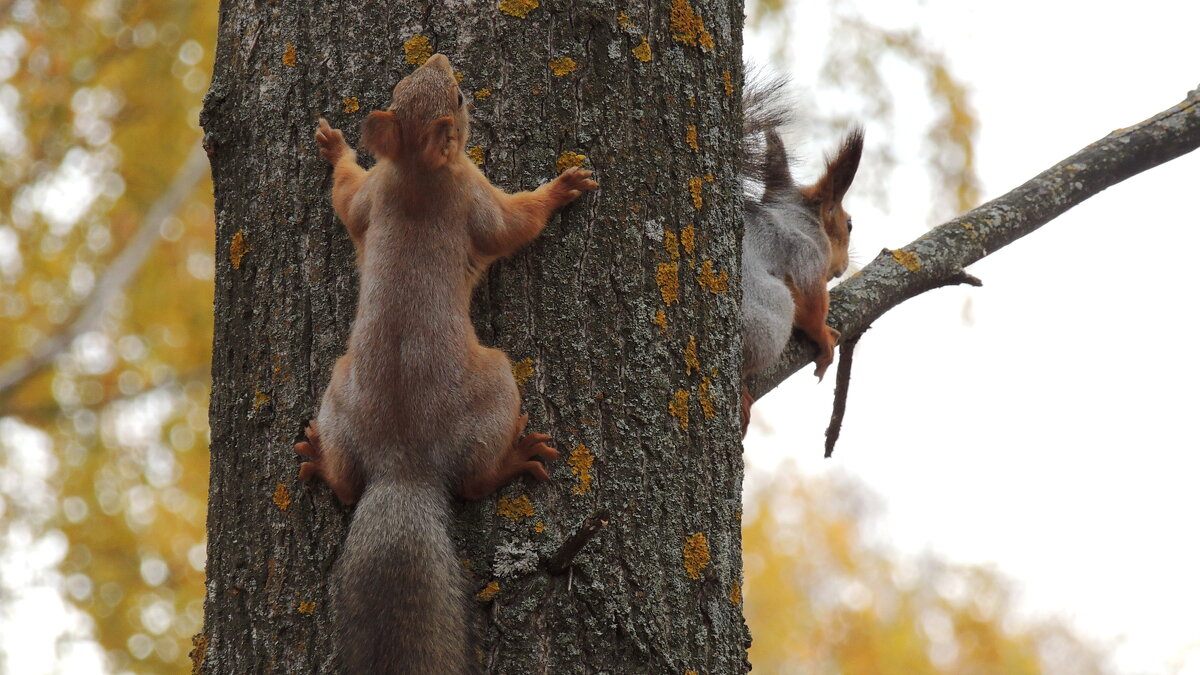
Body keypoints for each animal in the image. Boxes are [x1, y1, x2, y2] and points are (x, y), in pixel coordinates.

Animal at [739, 74, 864, 429]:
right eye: (849, 225)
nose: (844, 266)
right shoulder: (807, 254)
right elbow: (812, 303)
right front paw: (824, 338)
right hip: (771, 317)